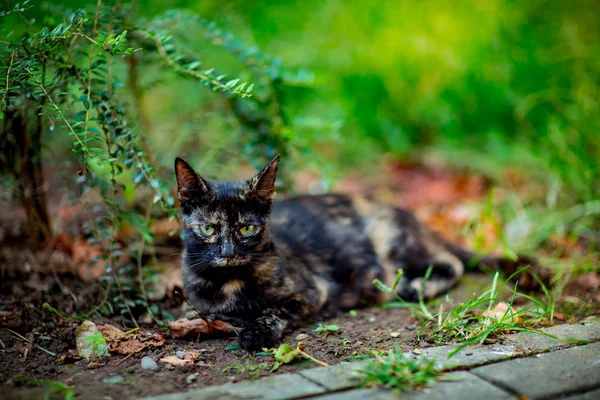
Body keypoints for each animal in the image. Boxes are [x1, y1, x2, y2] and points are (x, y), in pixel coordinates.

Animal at [175, 155, 548, 350]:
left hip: (394, 243)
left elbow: (274, 310)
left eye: (246, 229)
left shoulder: (312, 291)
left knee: (451, 262)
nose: (227, 252)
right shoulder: (201, 305)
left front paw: (256, 332)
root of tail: (412, 217)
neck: (230, 281)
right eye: (208, 229)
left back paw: (412, 286)